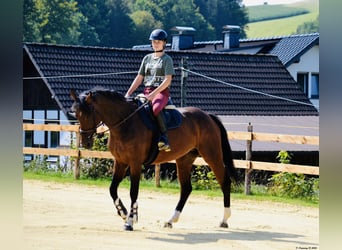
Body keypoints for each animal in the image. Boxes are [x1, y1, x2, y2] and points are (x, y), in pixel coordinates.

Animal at [69, 87, 238, 230]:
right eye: (76, 114)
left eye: (88, 113)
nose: (86, 142)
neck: (125, 123)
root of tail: (207, 116)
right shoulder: (121, 162)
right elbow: (112, 189)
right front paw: (124, 213)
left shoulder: (135, 163)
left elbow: (133, 191)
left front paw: (130, 221)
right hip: (184, 159)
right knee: (186, 189)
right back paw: (171, 220)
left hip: (212, 156)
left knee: (224, 182)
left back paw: (224, 220)